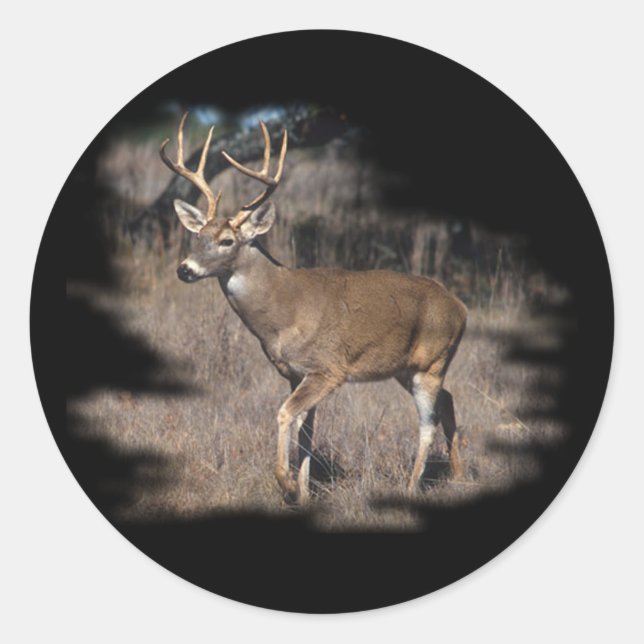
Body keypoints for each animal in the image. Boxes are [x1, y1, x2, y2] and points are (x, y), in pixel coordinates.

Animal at [160, 113, 468, 503]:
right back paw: (458, 476)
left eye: (227, 240)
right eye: (197, 236)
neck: (282, 313)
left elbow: (284, 415)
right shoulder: (295, 372)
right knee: (449, 400)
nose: (184, 269)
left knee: (427, 423)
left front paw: (288, 484)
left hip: (432, 361)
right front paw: (304, 493)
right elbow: (306, 430)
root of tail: (461, 307)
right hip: (407, 368)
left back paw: (412, 487)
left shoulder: (328, 368)